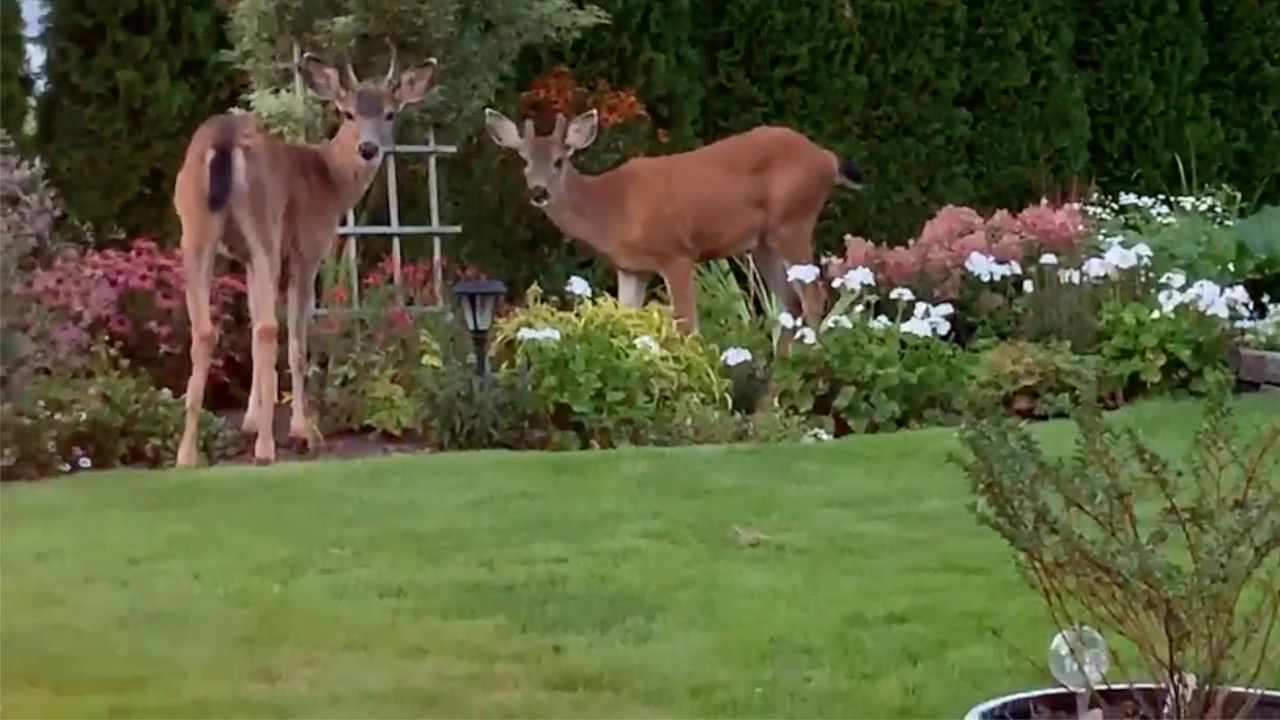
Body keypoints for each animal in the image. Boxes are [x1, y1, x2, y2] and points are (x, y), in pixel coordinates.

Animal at [172, 49, 440, 466]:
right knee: (270, 327)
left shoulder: (246, 259)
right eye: (348, 113)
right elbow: (297, 339)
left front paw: (249, 420)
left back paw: (186, 455)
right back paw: (266, 449)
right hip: (264, 222)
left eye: (390, 113)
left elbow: (252, 322)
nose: (369, 149)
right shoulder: (307, 248)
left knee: (205, 329)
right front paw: (301, 430)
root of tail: (225, 140)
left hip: (195, 227)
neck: (330, 179)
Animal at [481, 106, 870, 333]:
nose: (539, 192)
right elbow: (628, 320)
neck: (612, 208)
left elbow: (687, 327)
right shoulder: (630, 267)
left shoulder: (677, 253)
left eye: (559, 161)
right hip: (763, 242)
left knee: (813, 297)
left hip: (793, 222)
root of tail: (826, 157)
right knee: (788, 303)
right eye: (524, 161)